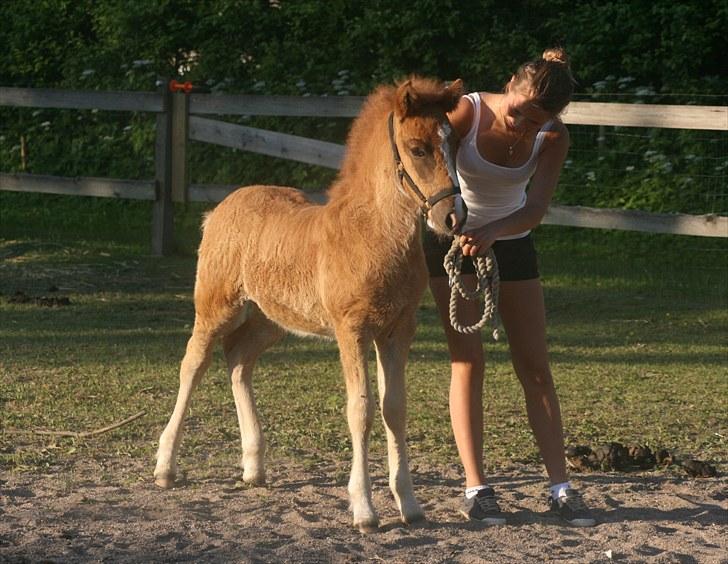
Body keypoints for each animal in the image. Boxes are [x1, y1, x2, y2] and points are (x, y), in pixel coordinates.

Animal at [155, 76, 466, 532]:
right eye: (417, 148)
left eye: (455, 142)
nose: (453, 217)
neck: (371, 234)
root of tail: (218, 209)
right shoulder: (352, 329)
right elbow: (361, 410)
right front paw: (364, 510)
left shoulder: (398, 329)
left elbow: (395, 409)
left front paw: (409, 504)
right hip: (217, 307)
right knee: (194, 364)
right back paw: (165, 467)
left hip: (271, 319)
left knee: (238, 360)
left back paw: (253, 467)